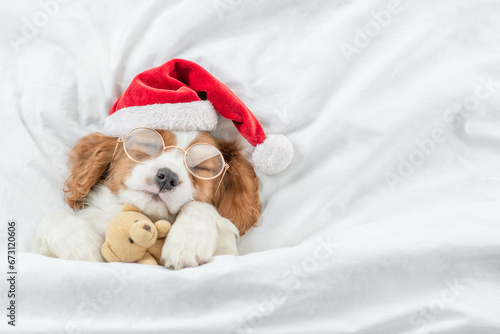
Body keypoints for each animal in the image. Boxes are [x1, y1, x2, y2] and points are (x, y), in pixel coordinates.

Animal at [35, 128, 262, 268]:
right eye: (148, 145)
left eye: (200, 167)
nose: (167, 177)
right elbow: (52, 217)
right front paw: (81, 245)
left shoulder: (226, 255)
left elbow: (200, 207)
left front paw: (187, 241)